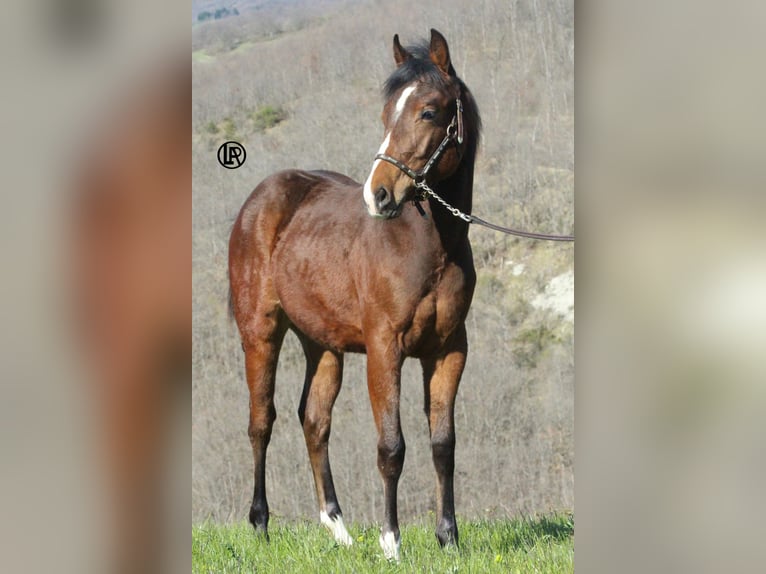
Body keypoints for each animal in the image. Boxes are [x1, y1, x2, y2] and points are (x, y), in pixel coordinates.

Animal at [228, 29, 481, 561]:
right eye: (386, 114)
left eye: (429, 111)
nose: (378, 195)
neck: (426, 246)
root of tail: (260, 198)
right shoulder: (385, 350)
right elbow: (392, 447)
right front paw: (391, 542)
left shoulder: (449, 350)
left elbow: (443, 444)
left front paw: (448, 538)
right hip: (260, 333)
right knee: (262, 421)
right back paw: (259, 524)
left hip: (323, 345)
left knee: (314, 420)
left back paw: (338, 529)